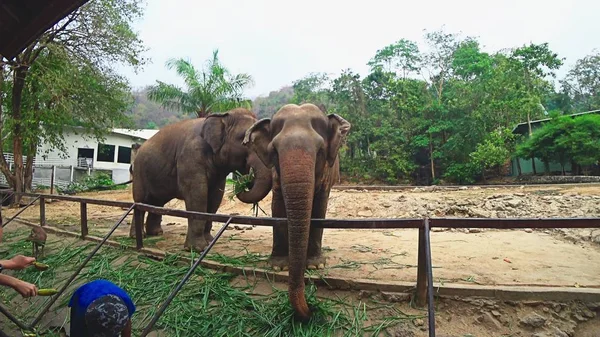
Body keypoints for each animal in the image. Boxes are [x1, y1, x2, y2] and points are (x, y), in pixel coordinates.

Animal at [131, 109, 274, 251]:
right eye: (243, 139)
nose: (246, 181)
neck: (222, 116)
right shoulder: (191, 155)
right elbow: (197, 194)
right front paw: (197, 249)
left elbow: (215, 197)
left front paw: (209, 241)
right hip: (139, 172)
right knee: (140, 201)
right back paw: (138, 236)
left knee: (157, 202)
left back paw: (156, 233)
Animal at [241, 102, 350, 320]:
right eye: (274, 151)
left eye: (320, 150)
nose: (312, 309)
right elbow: (277, 207)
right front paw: (278, 265)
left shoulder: (326, 174)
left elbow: (319, 208)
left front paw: (315, 265)